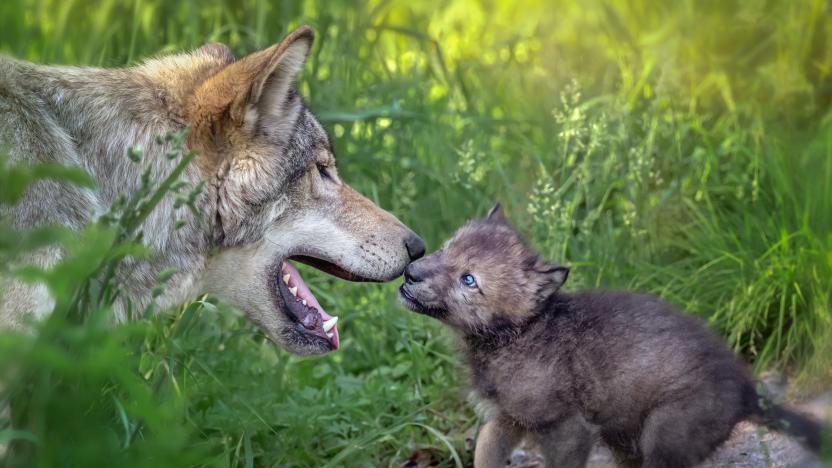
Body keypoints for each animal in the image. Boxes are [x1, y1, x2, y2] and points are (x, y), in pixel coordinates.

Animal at [398, 205, 824, 468]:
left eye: (469, 280)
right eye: (445, 248)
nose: (411, 272)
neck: (517, 335)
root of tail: (747, 390)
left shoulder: (566, 426)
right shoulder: (511, 417)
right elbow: (486, 448)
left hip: (666, 432)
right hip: (626, 437)